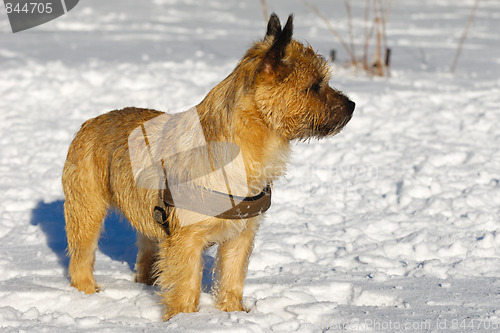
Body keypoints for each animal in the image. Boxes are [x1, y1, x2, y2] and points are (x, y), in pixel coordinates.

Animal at [61, 13, 352, 320]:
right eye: (316, 85)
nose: (353, 105)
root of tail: (89, 122)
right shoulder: (186, 242)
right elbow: (186, 287)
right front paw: (184, 320)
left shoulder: (241, 237)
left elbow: (232, 279)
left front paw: (233, 313)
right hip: (87, 211)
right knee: (81, 257)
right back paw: (88, 293)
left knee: (146, 254)